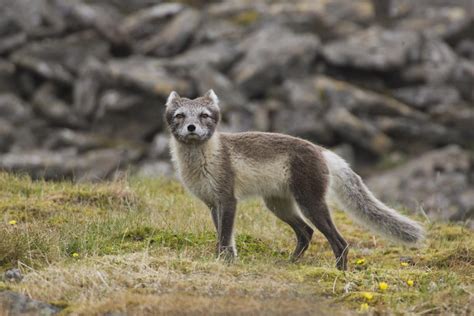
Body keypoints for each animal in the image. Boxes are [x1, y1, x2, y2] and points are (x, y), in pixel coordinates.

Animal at [165, 90, 424, 270]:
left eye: (204, 115)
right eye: (179, 116)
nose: (191, 127)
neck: (204, 159)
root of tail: (321, 151)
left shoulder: (228, 199)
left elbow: (225, 236)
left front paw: (224, 260)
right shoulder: (212, 204)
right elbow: (223, 235)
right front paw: (225, 259)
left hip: (310, 203)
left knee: (339, 242)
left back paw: (339, 271)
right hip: (278, 205)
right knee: (306, 233)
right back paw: (291, 262)